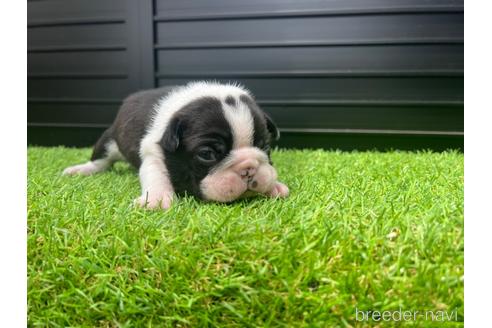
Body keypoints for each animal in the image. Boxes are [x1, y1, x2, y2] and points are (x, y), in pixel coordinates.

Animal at [63, 81, 290, 209]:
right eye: (207, 154)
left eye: (265, 147)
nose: (248, 169)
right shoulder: (153, 152)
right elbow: (156, 175)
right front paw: (156, 200)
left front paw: (273, 186)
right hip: (110, 140)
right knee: (100, 159)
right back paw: (80, 169)